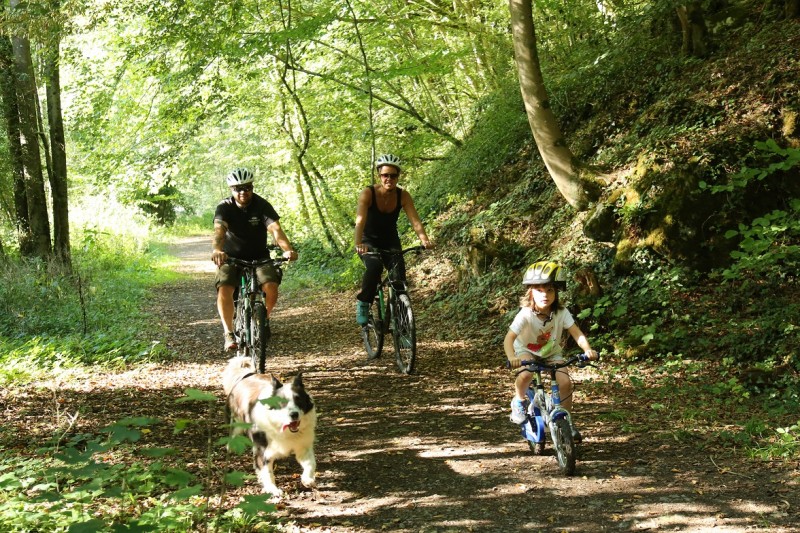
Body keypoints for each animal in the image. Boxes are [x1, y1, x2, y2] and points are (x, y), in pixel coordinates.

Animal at [223, 356, 318, 496]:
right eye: (281, 402)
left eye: (299, 400)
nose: (294, 414)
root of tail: (245, 376)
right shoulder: (262, 450)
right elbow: (267, 471)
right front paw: (272, 489)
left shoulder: (303, 445)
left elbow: (311, 463)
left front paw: (308, 479)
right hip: (236, 422)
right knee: (232, 436)